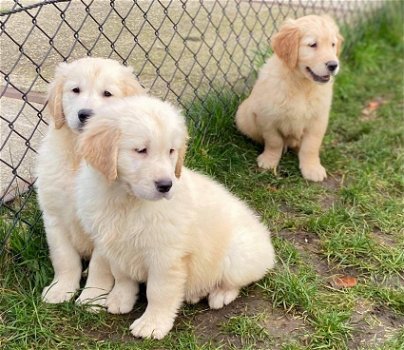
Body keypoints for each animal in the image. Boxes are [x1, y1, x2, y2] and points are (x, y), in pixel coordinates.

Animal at [35, 57, 144, 304]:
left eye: (107, 94)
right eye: (75, 90)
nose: (85, 115)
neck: (79, 156)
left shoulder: (104, 226)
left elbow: (100, 267)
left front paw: (92, 297)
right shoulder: (54, 215)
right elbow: (64, 258)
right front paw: (61, 289)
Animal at [74, 95, 276, 340]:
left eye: (171, 151)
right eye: (141, 150)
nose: (166, 185)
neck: (126, 201)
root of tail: (267, 241)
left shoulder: (166, 256)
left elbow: (158, 292)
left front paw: (152, 325)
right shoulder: (115, 246)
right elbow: (122, 277)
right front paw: (119, 299)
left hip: (237, 255)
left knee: (236, 281)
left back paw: (219, 295)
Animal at [235, 15, 342, 182]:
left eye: (332, 44)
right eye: (313, 45)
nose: (333, 65)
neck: (302, 84)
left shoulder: (318, 120)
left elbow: (311, 146)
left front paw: (312, 168)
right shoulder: (267, 118)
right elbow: (274, 142)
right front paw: (269, 161)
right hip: (242, 116)